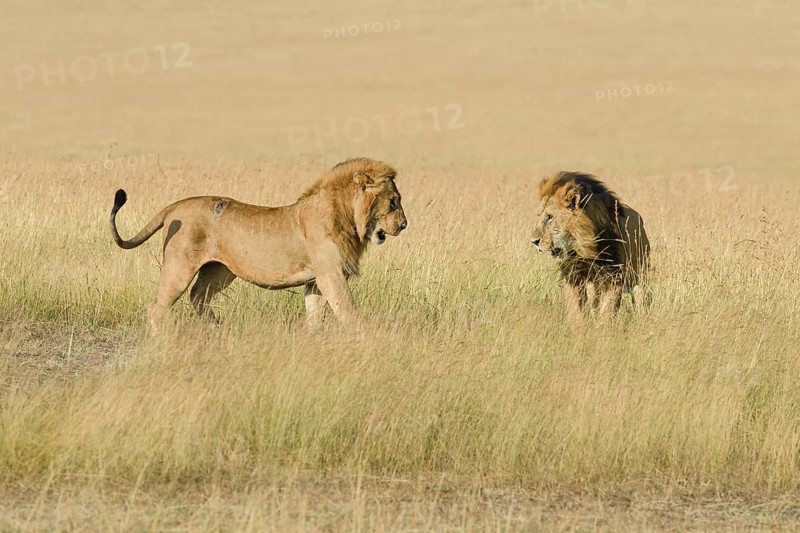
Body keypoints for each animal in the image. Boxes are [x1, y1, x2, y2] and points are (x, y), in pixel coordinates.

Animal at [109, 157, 407, 333]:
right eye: (394, 202)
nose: (404, 225)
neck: (346, 216)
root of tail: (173, 206)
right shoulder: (330, 274)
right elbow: (347, 311)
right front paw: (364, 338)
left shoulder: (315, 280)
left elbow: (315, 315)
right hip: (180, 266)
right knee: (158, 308)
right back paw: (166, 341)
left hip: (218, 271)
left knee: (198, 297)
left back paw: (217, 330)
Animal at [530, 171, 650, 322]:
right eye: (539, 215)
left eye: (550, 216)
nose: (533, 241)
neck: (585, 251)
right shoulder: (573, 278)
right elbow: (576, 310)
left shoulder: (614, 278)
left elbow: (607, 312)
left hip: (640, 276)